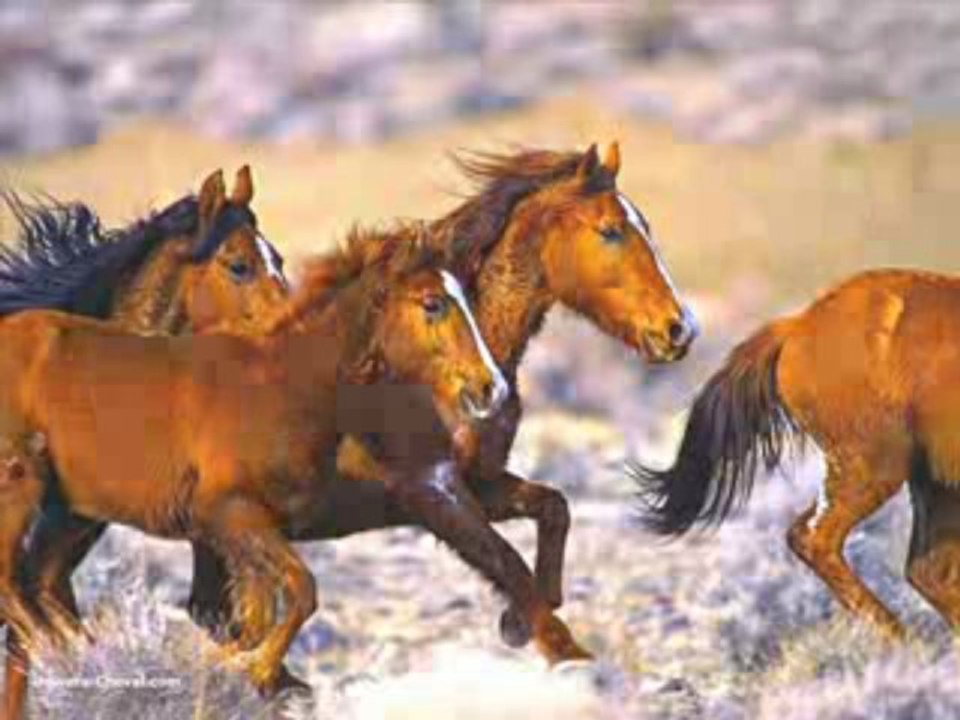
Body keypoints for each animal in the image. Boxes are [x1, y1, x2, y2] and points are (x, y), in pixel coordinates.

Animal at [0, 234, 507, 715]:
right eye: (433, 303)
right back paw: (69, 656)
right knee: (12, 584)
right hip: (21, 487)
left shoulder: (249, 535)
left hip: (73, 513)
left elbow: (255, 619)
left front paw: (237, 673)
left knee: (40, 582)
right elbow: (302, 591)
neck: (282, 384)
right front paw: (252, 670)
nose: (492, 388)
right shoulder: (234, 516)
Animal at [187, 141, 698, 660]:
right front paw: (557, 647)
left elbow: (553, 510)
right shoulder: (429, 491)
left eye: (645, 227)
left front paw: (517, 621)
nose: (679, 329)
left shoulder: (478, 482)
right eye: (610, 230)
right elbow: (508, 562)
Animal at [633, 268, 960, 640]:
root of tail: (798, 325)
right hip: (877, 467)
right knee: (815, 538)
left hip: (930, 480)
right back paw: (899, 637)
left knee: (928, 571)